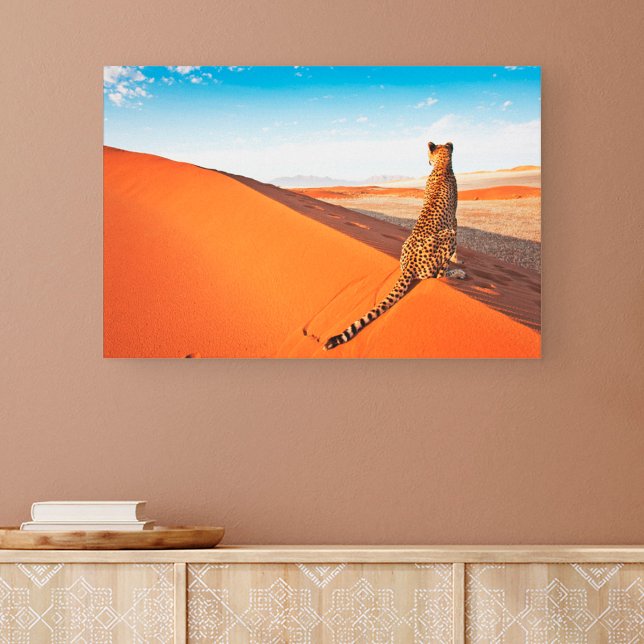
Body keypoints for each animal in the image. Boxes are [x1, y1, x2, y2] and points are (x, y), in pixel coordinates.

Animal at [323, 141, 466, 351]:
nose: (427, 161)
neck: (442, 167)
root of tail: (409, 265)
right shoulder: (453, 222)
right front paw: (459, 261)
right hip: (448, 236)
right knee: (438, 276)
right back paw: (457, 274)